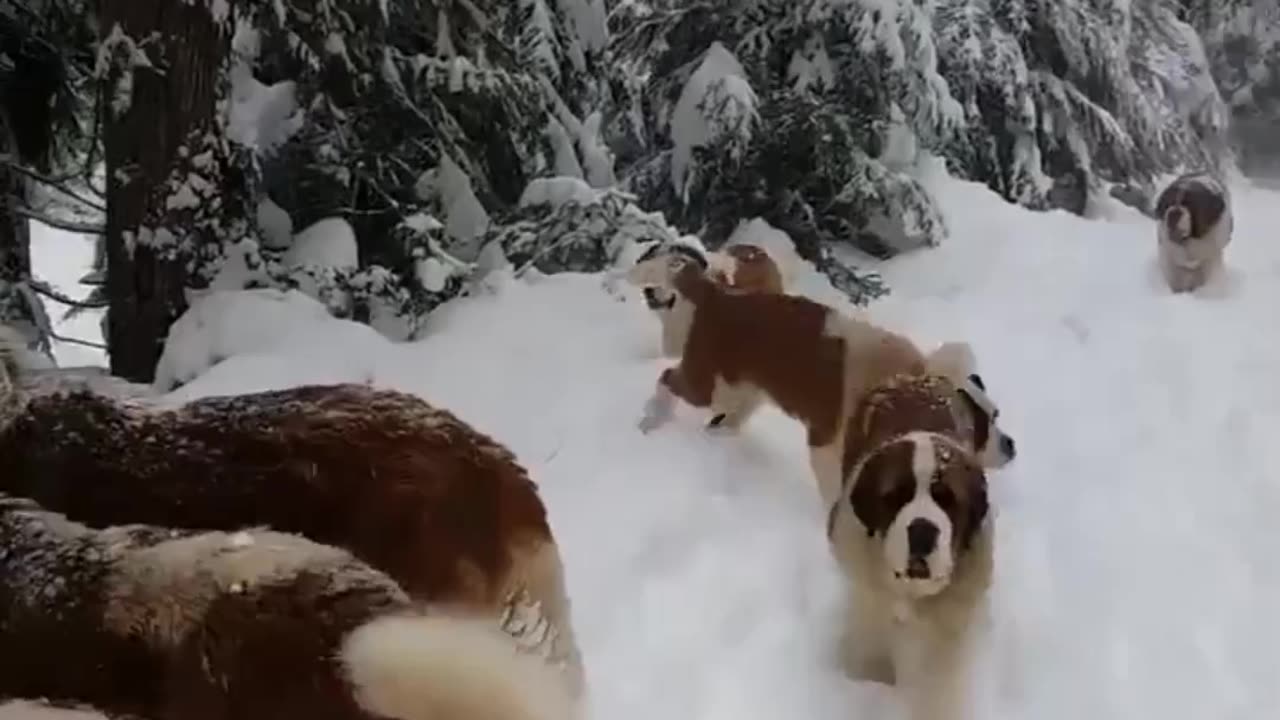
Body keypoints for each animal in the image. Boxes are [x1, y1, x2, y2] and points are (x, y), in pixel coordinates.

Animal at [624, 253, 1013, 509]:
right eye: (978, 428)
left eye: (996, 415)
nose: (1011, 446)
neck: (901, 381)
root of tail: (718, 295)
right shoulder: (825, 444)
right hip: (710, 386)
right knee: (667, 379)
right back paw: (651, 420)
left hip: (742, 393)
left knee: (723, 419)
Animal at [824, 368, 993, 717]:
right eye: (896, 496)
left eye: (947, 499)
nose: (923, 531)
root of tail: (915, 377)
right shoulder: (869, 598)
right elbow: (870, 645)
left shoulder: (948, 625)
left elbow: (938, 686)